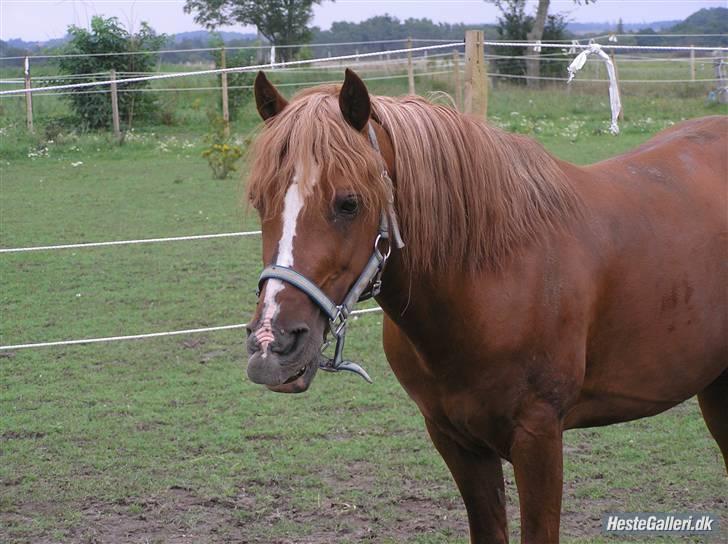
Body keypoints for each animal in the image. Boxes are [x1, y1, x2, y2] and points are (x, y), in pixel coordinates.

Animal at [245, 69, 728, 544]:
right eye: (259, 200)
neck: (491, 277)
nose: (272, 345)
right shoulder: (456, 441)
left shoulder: (539, 436)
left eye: (349, 203)